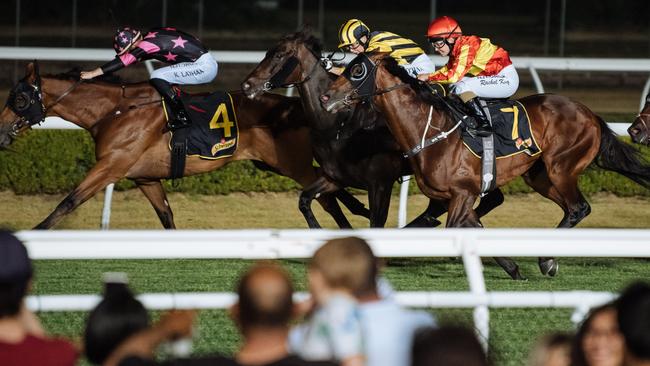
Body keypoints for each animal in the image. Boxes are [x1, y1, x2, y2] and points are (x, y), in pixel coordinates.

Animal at [1, 62, 364, 229]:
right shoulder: (145, 178)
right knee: (329, 191)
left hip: (292, 164)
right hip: (275, 163)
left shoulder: (110, 166)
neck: (115, 111)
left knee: (326, 194)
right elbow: (166, 216)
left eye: (18, 99)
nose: (2, 131)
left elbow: (67, 202)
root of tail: (296, 105)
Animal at [322, 54, 650, 276]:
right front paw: (513, 268)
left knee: (579, 207)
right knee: (570, 208)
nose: (326, 96)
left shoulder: (463, 193)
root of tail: (591, 114)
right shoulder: (457, 197)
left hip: (562, 167)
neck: (430, 131)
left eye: (357, 70)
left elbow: (454, 228)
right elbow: (474, 226)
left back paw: (547, 259)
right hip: (539, 176)